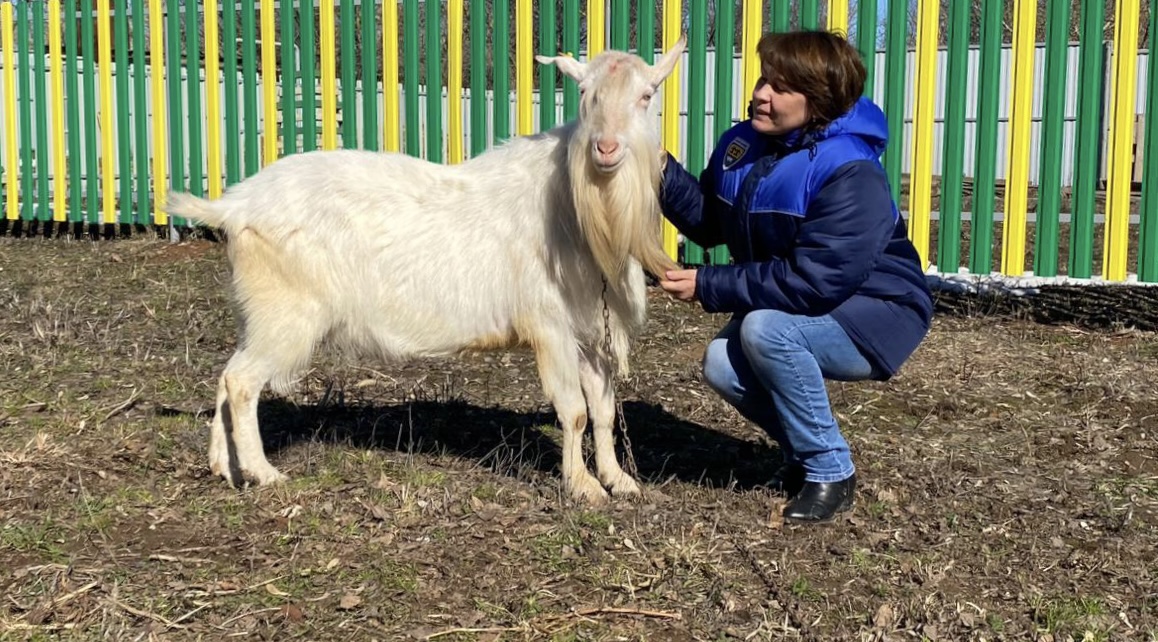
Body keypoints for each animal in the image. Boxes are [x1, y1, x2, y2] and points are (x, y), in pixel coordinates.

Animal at [167, 37, 680, 502]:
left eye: (646, 95)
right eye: (584, 93)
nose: (606, 148)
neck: (577, 209)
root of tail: (235, 206)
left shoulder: (591, 329)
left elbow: (604, 410)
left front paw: (619, 480)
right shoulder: (550, 324)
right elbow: (574, 411)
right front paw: (584, 488)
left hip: (258, 312)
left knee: (227, 375)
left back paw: (224, 466)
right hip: (286, 312)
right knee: (242, 382)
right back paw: (263, 472)